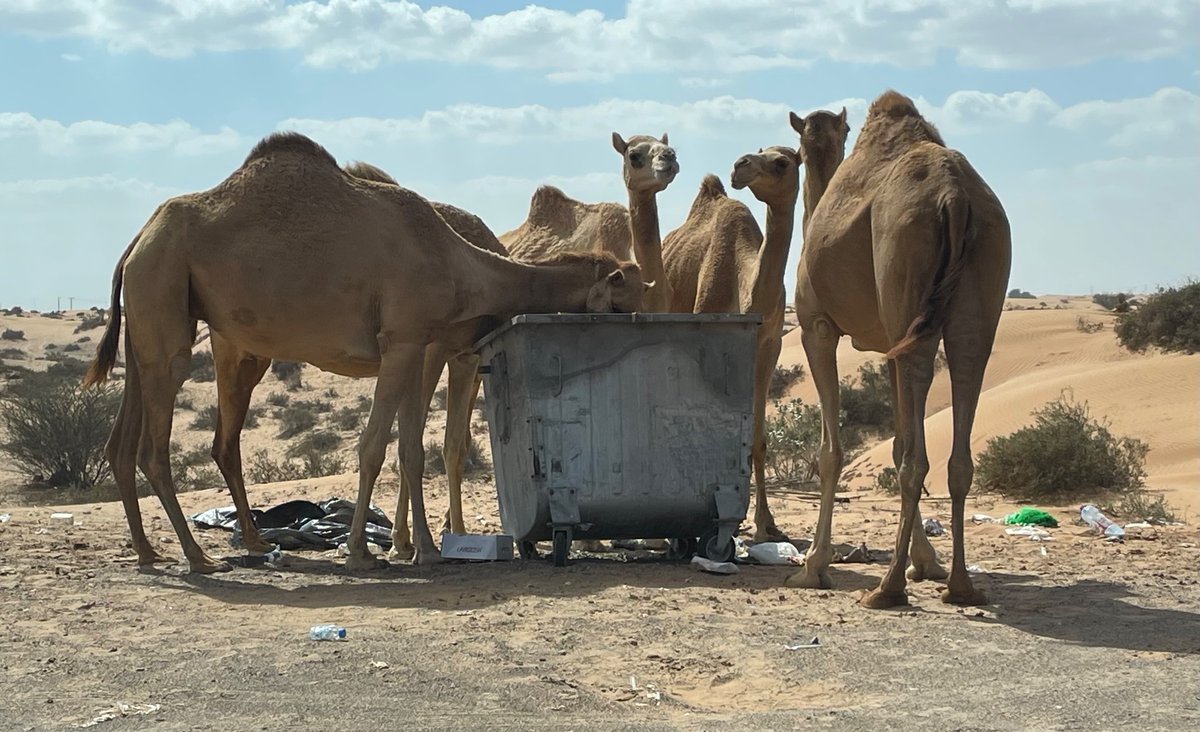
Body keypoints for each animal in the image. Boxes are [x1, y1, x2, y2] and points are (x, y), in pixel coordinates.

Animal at [661, 108, 849, 543]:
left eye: (783, 161)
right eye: (759, 152)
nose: (740, 165)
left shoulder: (769, 344)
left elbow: (758, 438)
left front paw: (765, 523)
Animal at [786, 91, 1011, 608]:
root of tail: (955, 196)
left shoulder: (816, 327)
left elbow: (832, 451)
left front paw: (814, 565)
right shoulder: (888, 340)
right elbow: (897, 441)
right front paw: (924, 562)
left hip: (904, 262)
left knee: (918, 430)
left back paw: (887, 588)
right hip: (978, 282)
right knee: (965, 375)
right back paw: (960, 585)